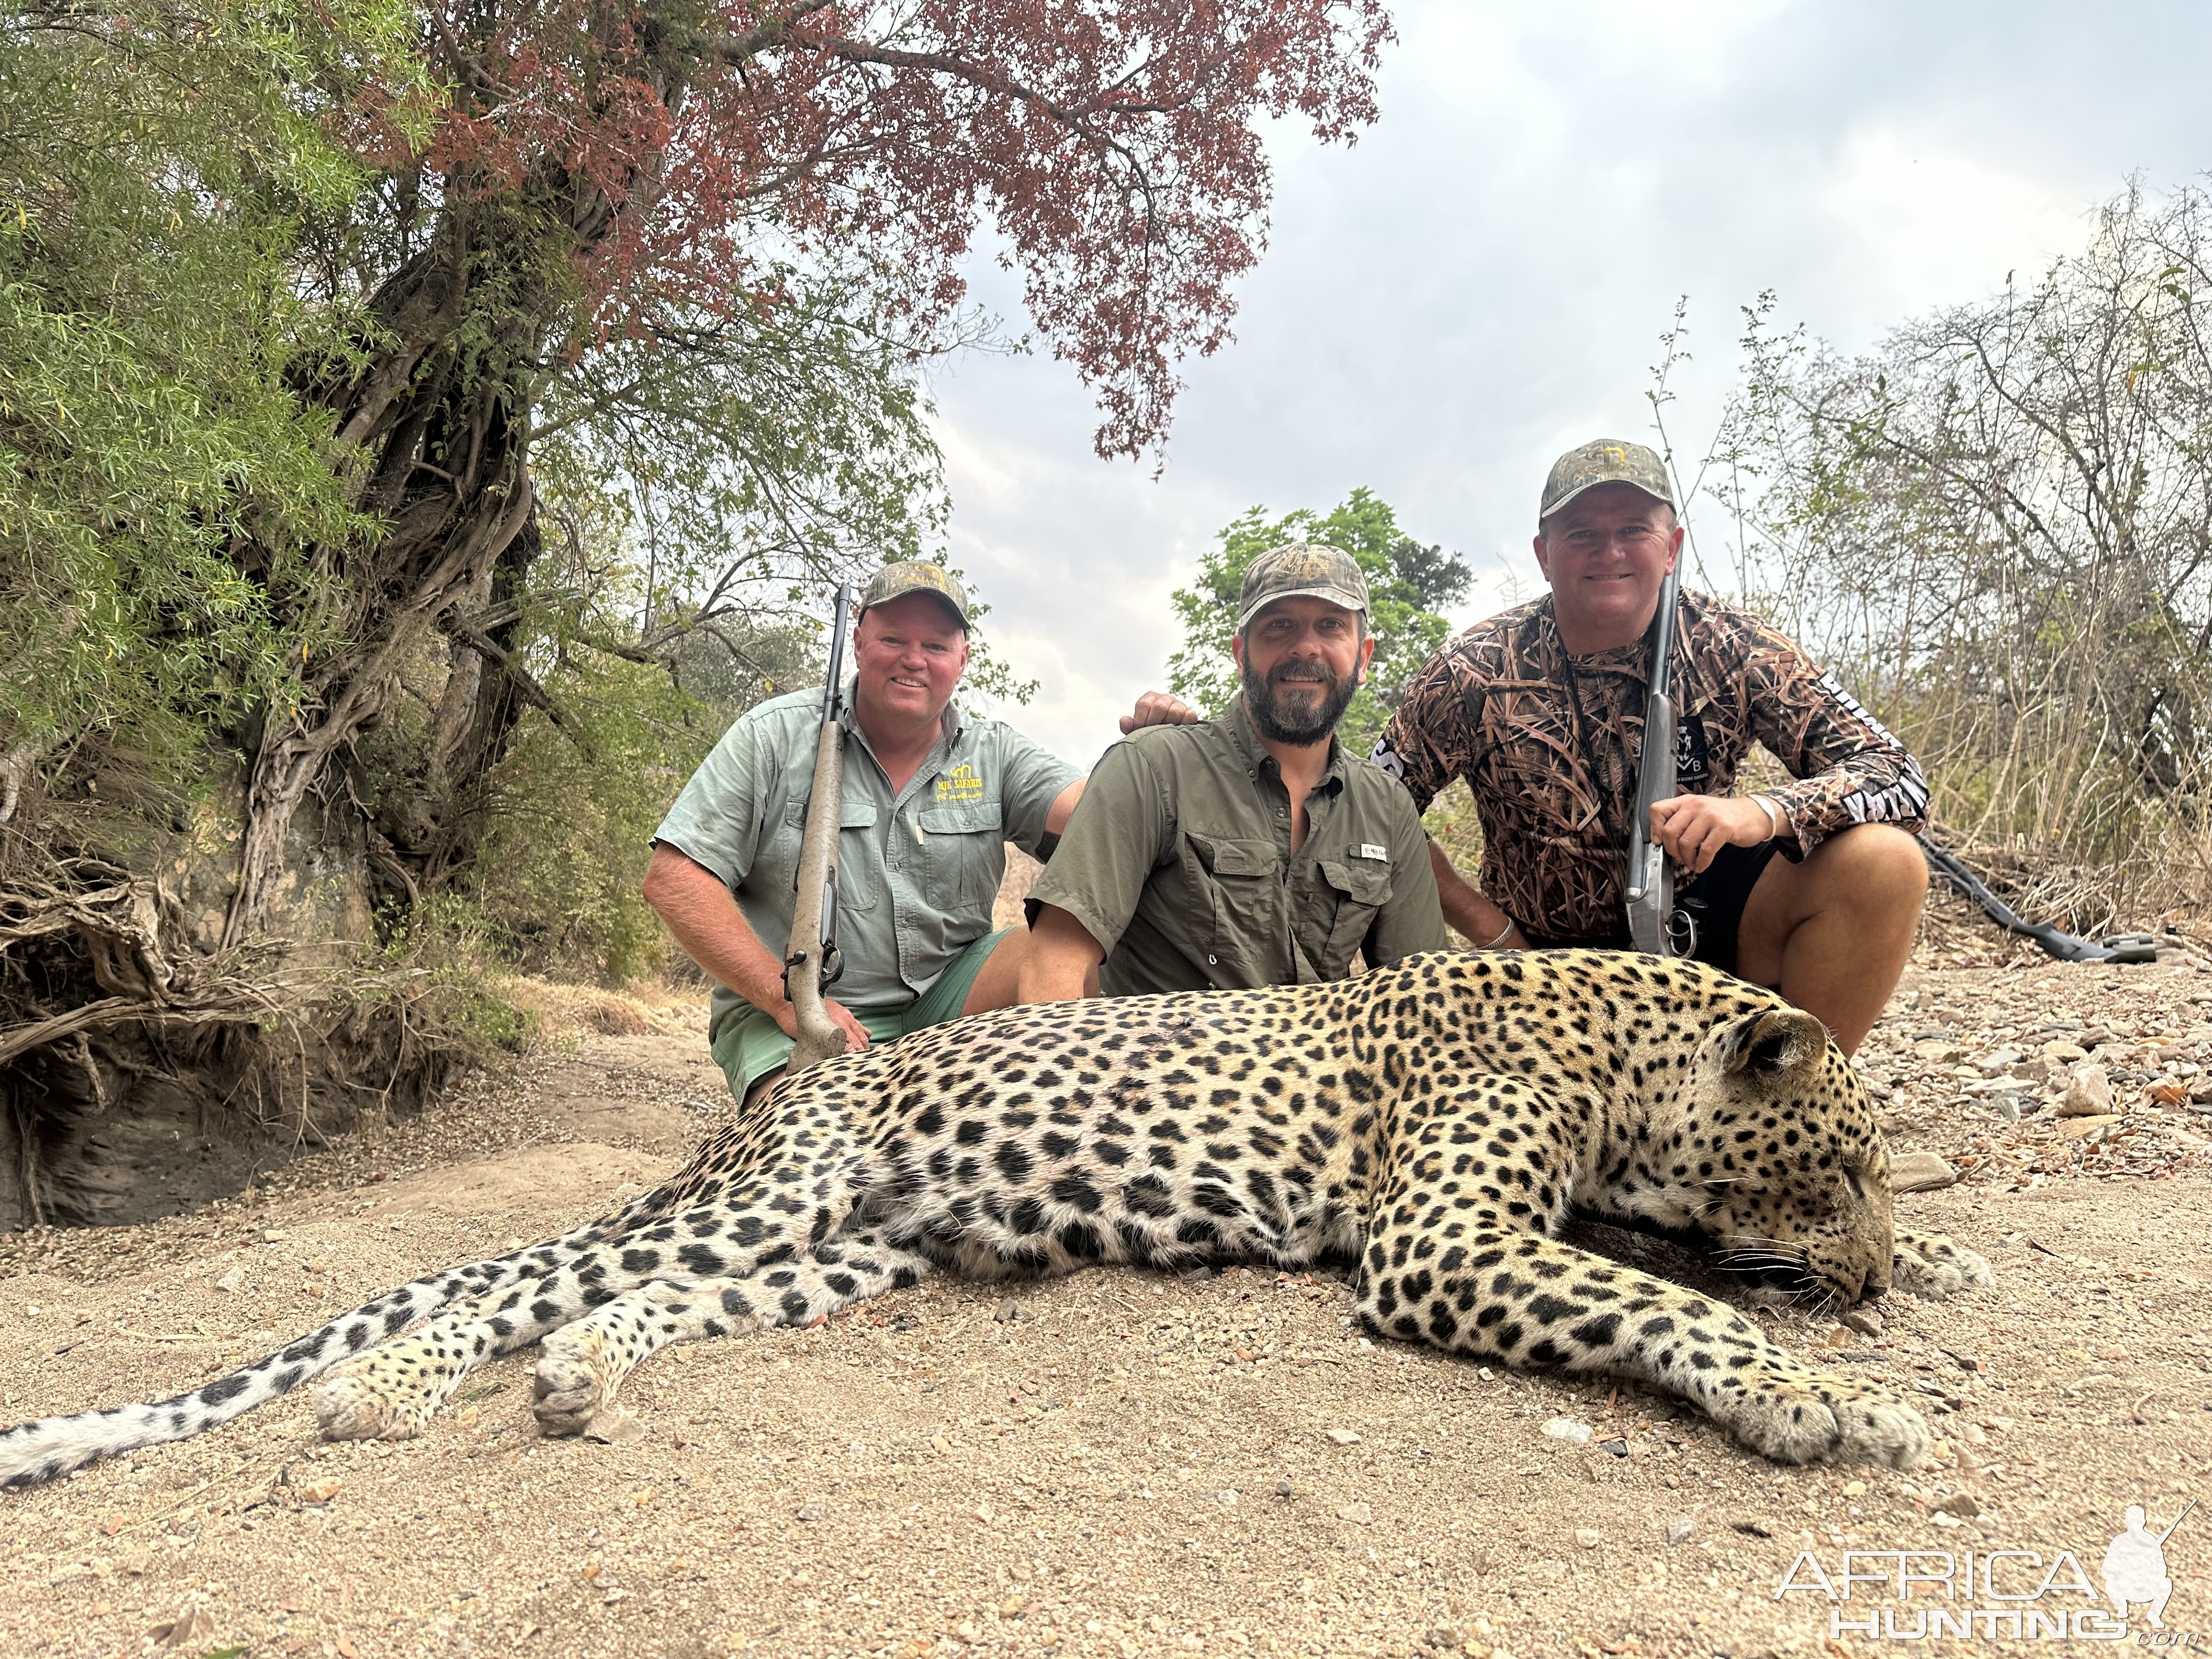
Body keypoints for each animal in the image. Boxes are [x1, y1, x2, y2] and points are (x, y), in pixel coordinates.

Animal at [0, 946, 1990, 1495]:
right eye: (1841, 1162)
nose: (1874, 1275)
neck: (1620, 1061)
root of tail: (773, 1099)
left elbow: (1665, 1269)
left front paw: (1912, 1299)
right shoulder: (1443, 1245)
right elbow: (1679, 1304)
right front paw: (1835, 1399)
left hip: (856, 1251)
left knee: (607, 1308)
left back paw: (580, 1382)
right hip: (777, 1197)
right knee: (508, 1291)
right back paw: (389, 1393)